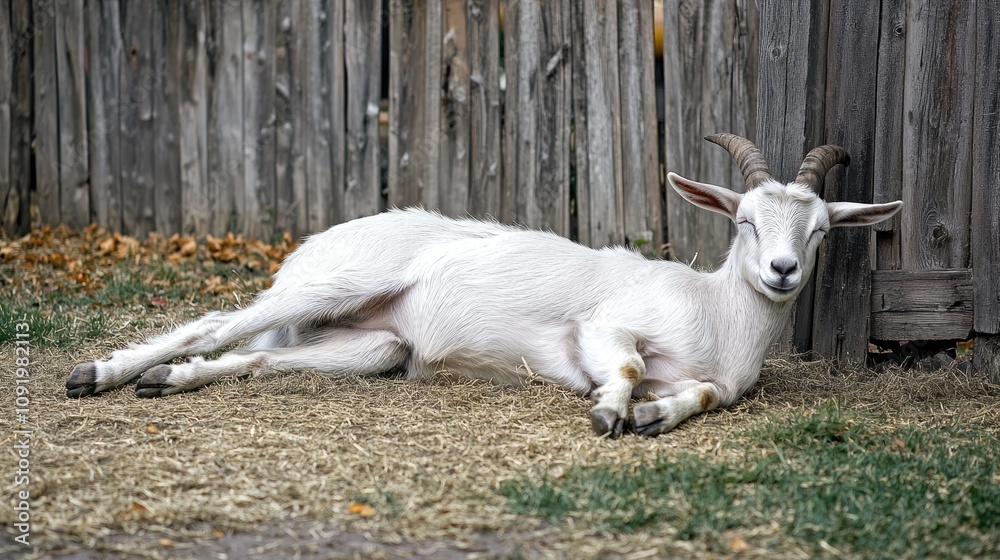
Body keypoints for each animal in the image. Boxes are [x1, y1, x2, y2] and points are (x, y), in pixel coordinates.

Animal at [66, 134, 902, 437]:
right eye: (746, 222)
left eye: (820, 230)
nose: (782, 272)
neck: (719, 316)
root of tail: (310, 246)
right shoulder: (602, 328)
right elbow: (628, 362)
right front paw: (610, 411)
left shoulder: (717, 382)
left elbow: (698, 395)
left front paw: (652, 416)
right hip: (330, 287)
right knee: (217, 318)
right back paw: (99, 373)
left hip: (376, 345)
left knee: (262, 354)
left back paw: (165, 380)